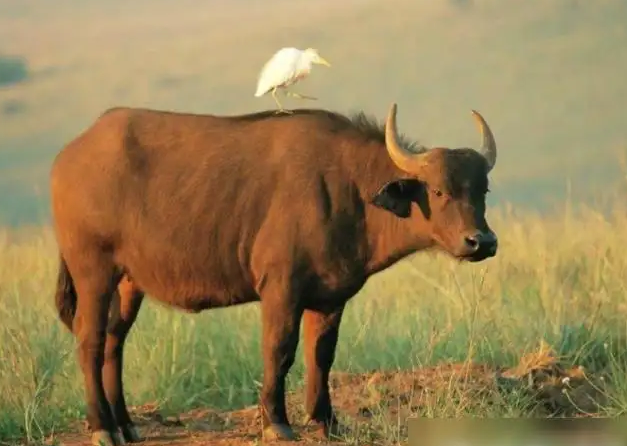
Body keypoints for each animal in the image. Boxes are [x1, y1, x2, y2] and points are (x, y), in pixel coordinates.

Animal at [49, 103, 500, 444]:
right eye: (439, 191)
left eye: (482, 190)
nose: (482, 242)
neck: (350, 190)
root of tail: (68, 156)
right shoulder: (281, 289)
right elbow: (279, 350)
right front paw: (277, 422)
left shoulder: (331, 298)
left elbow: (322, 355)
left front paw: (325, 420)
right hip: (93, 272)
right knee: (89, 341)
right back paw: (102, 428)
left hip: (129, 283)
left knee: (113, 342)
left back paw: (126, 425)